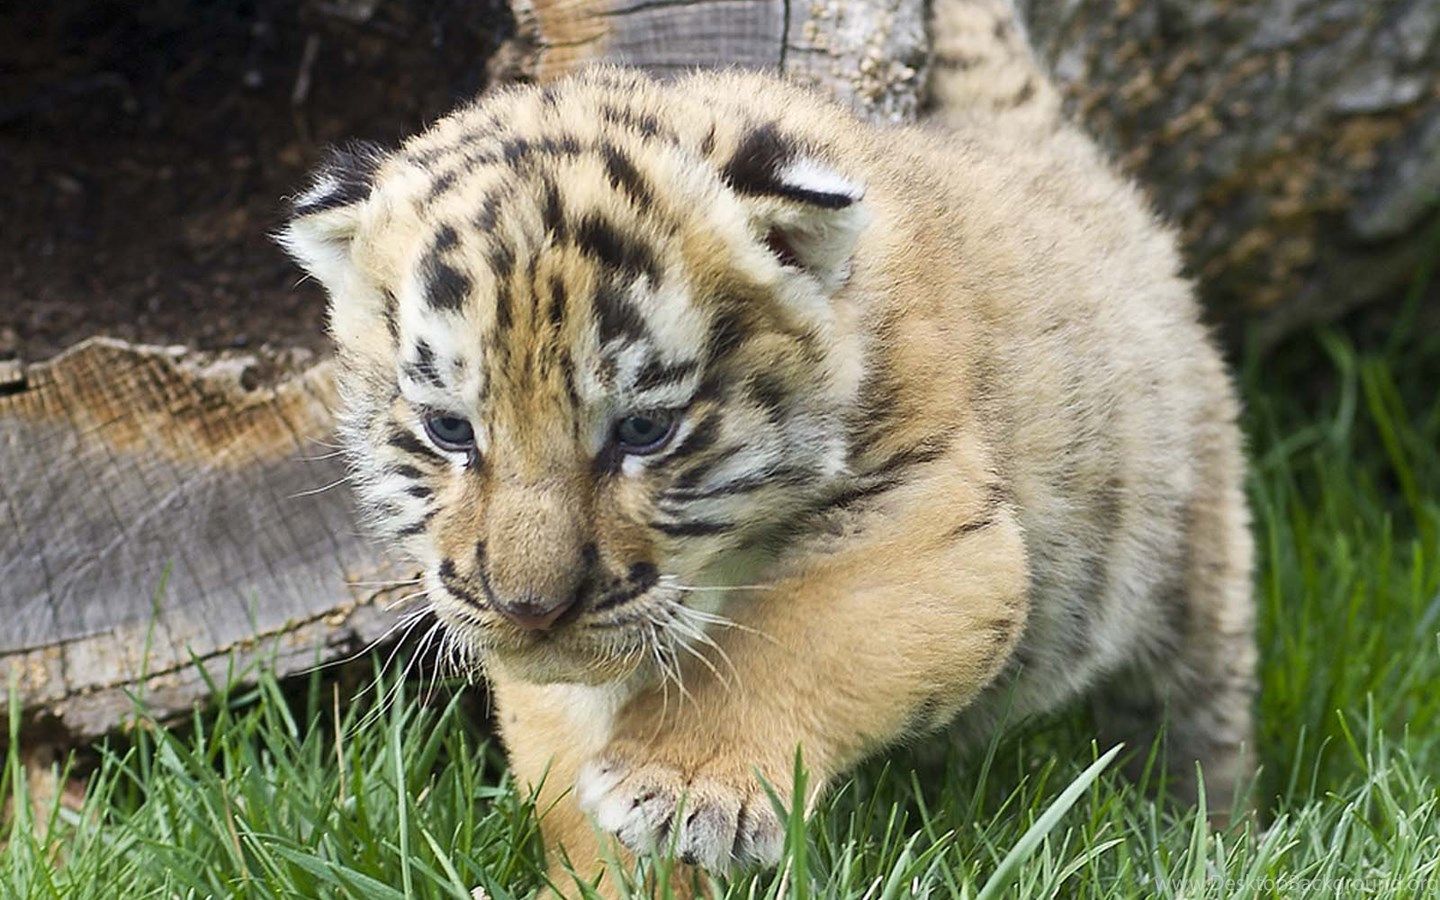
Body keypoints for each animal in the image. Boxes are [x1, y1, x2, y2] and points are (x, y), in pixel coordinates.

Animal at [279, 1, 1256, 894]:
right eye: (450, 429)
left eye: (643, 430)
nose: (529, 609)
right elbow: (567, 756)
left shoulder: (934, 520)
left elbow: (796, 635)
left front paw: (684, 786)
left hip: (1192, 556)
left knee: (1200, 712)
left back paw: (1202, 833)